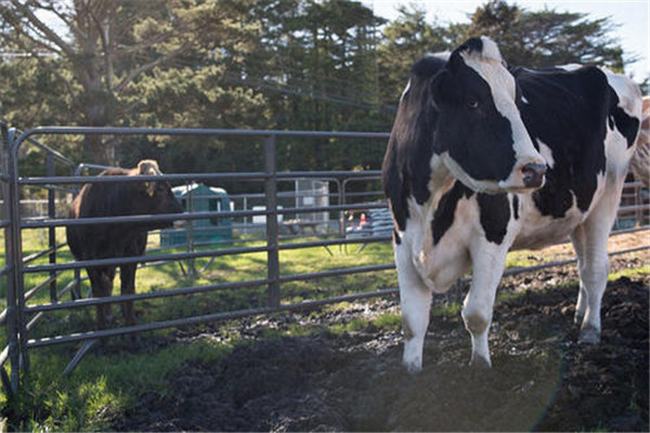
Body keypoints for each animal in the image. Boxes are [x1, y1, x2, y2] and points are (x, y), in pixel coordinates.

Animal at [67, 159, 182, 328]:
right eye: (160, 188)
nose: (181, 209)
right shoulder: (90, 261)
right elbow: (98, 292)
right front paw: (102, 324)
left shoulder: (130, 257)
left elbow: (127, 290)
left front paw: (130, 323)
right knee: (106, 285)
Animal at [382, 36, 640, 372]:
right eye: (473, 102)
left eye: (517, 102)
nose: (537, 169)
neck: (431, 202)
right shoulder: (402, 238)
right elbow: (412, 321)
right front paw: (411, 373)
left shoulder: (492, 236)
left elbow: (476, 313)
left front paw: (480, 368)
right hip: (577, 212)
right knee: (583, 265)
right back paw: (578, 315)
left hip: (608, 194)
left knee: (595, 268)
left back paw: (590, 330)